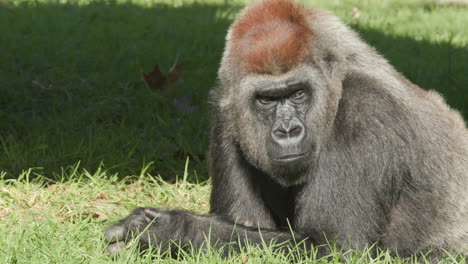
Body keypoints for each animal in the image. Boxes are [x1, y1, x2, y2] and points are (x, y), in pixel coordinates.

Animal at [105, 0, 468, 260]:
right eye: (266, 99)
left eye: (297, 94)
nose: (289, 130)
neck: (336, 84)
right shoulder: (225, 106)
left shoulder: (367, 110)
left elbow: (335, 247)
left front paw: (175, 230)